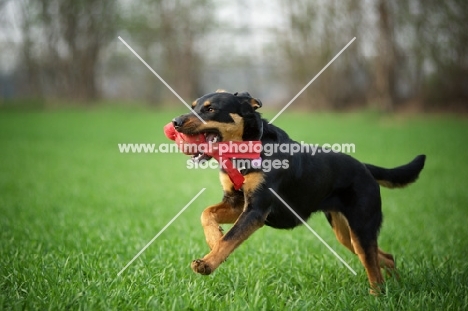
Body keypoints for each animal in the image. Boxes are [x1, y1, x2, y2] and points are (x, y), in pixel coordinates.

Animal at [171, 91, 424, 294]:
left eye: (210, 109)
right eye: (193, 106)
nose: (175, 122)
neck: (247, 150)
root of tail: (365, 167)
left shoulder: (256, 210)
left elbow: (230, 239)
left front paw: (207, 263)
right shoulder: (236, 202)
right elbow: (207, 214)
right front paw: (213, 239)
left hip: (361, 228)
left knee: (375, 271)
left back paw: (377, 296)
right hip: (346, 234)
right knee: (386, 258)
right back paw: (397, 286)